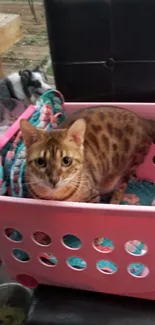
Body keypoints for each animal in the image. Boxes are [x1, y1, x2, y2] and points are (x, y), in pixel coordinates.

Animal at [20, 106, 155, 202]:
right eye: (40, 162)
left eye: (66, 161)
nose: (54, 180)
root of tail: (142, 119)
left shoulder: (93, 196)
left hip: (129, 167)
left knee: (121, 187)